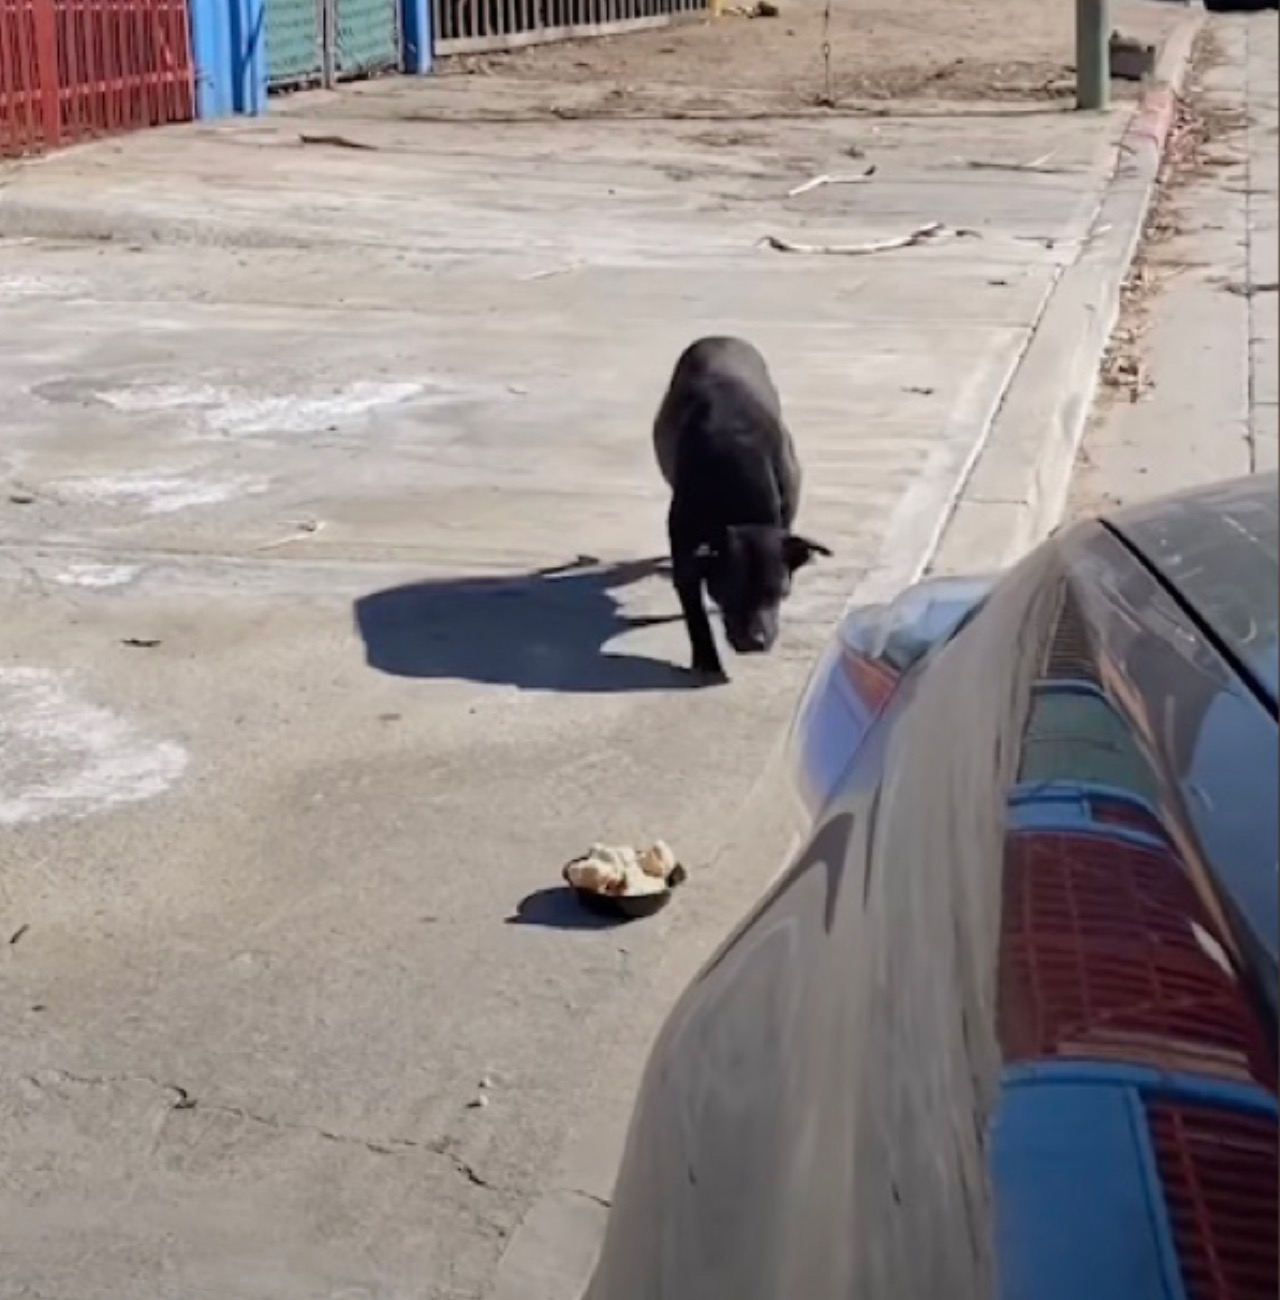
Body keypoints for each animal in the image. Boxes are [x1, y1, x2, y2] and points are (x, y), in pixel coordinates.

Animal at [649, 335, 831, 681]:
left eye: (779, 592)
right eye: (730, 591)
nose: (756, 641)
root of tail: (719, 337)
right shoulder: (684, 541)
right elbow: (693, 604)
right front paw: (707, 659)